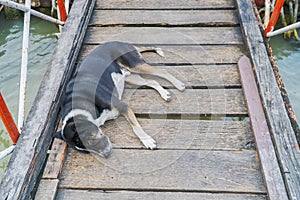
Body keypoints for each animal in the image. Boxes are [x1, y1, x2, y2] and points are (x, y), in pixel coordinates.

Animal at [55, 41, 184, 158]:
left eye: (89, 141)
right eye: (86, 151)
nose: (106, 155)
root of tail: (122, 42)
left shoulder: (124, 107)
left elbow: (135, 127)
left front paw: (147, 141)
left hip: (135, 66)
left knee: (162, 72)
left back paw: (179, 84)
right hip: (131, 77)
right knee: (152, 81)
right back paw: (164, 94)